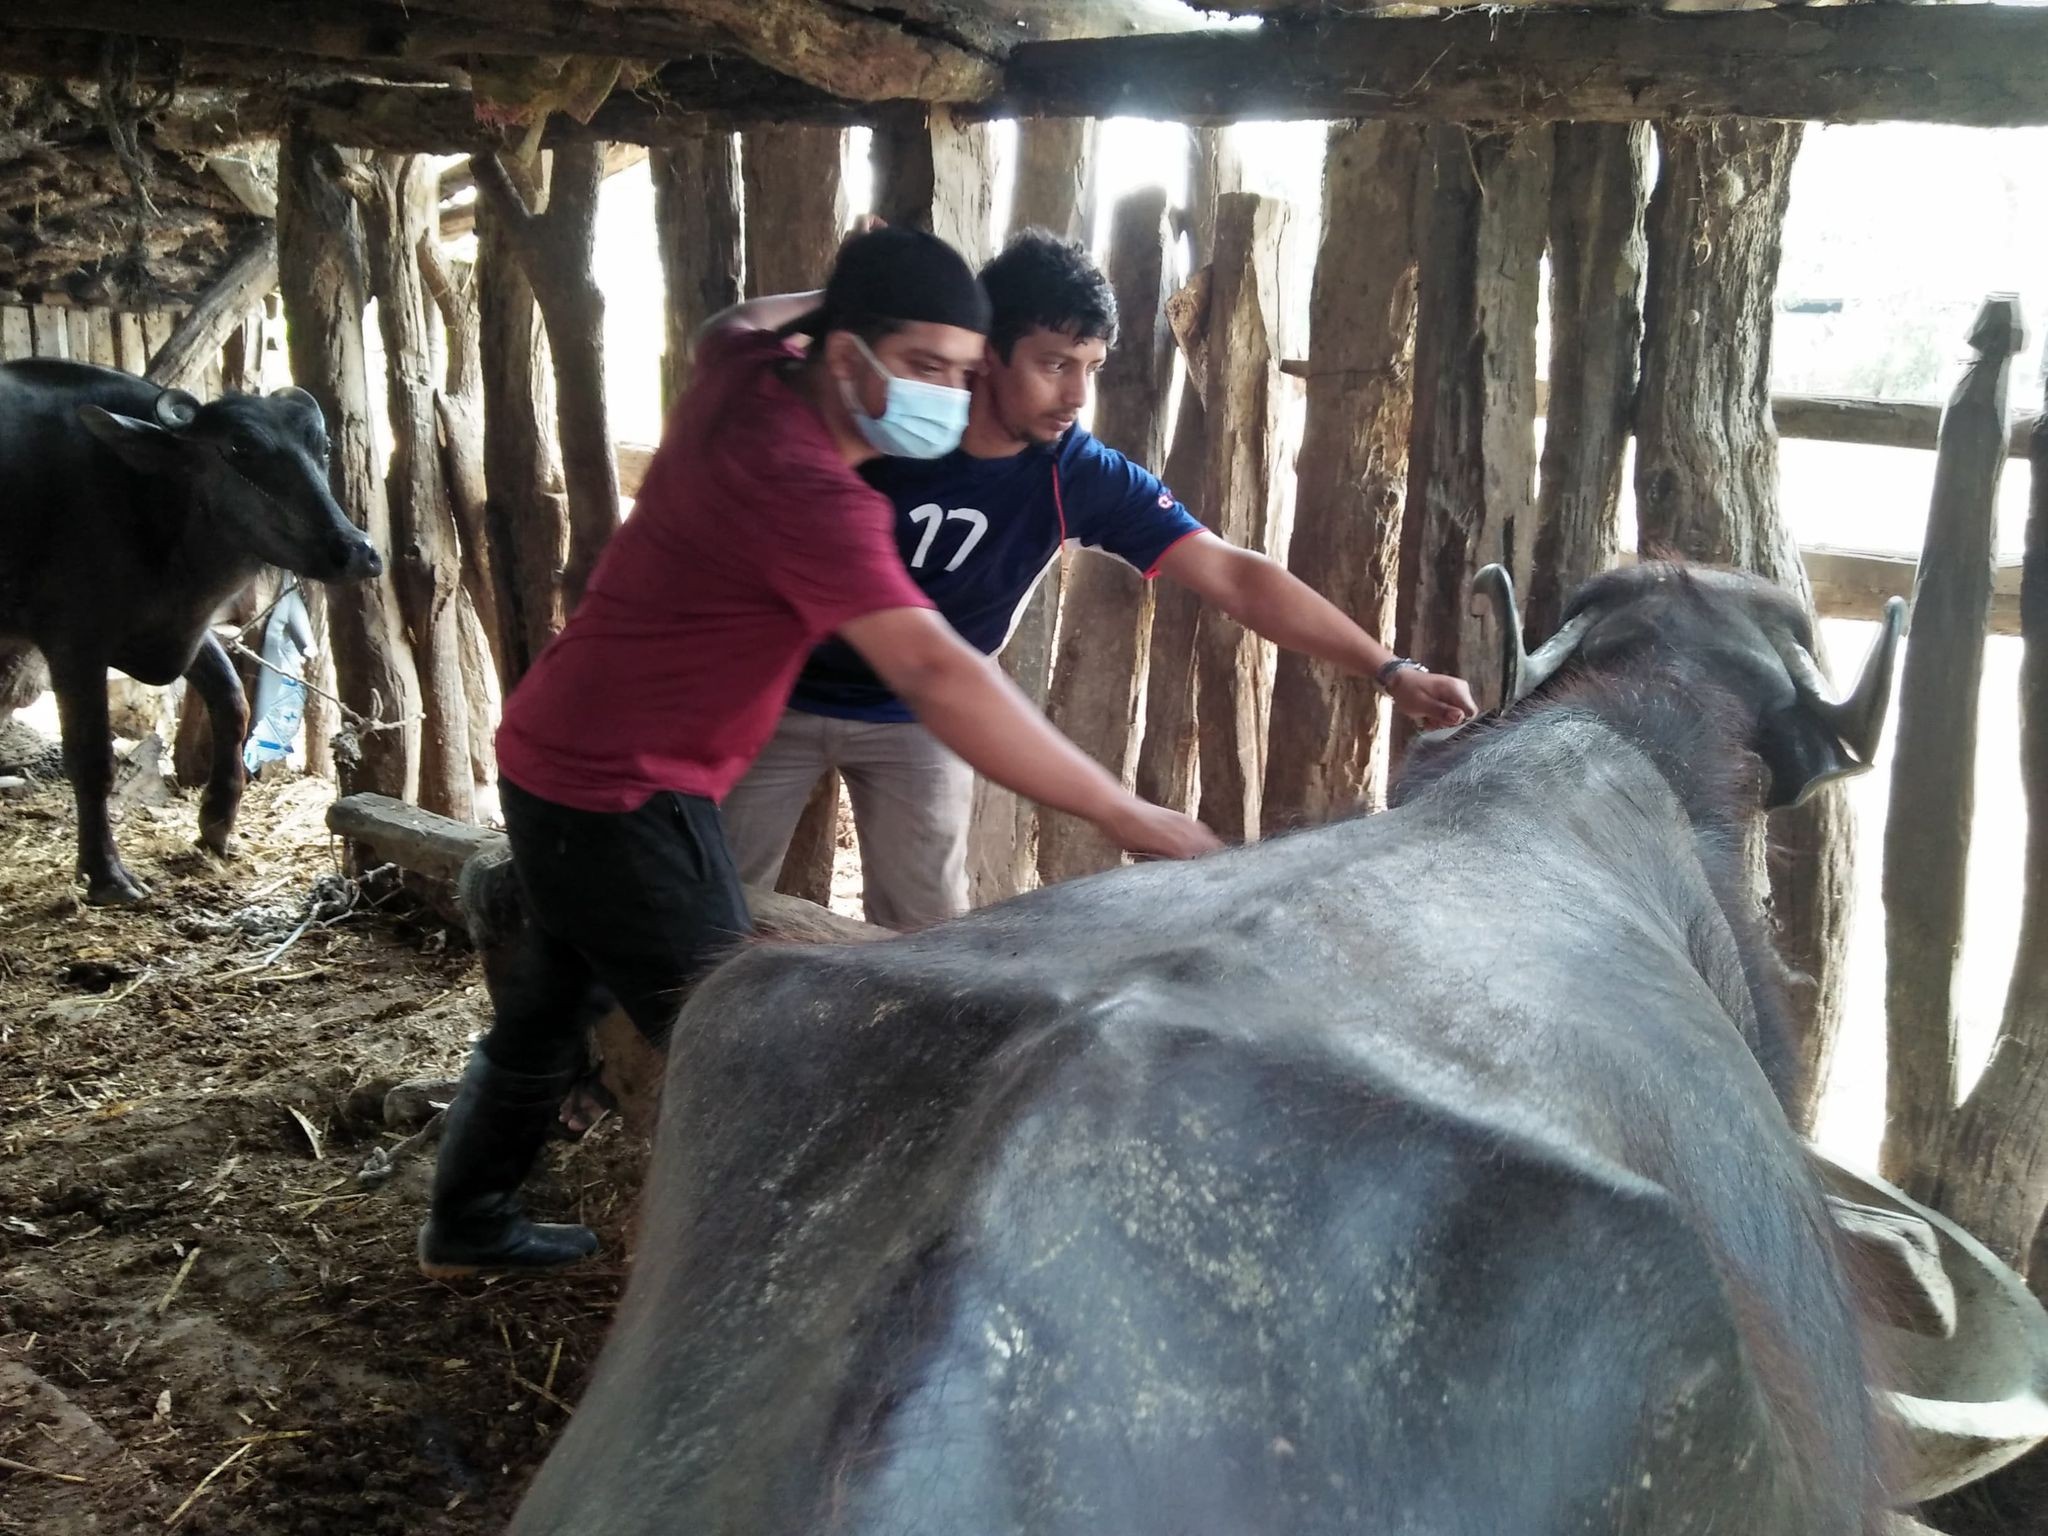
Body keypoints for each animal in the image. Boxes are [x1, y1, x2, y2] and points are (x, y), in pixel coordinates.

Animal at [1, 364, 380, 901]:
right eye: (239, 448)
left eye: (322, 446)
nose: (355, 550)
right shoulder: (74, 643)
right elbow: (91, 757)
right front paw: (107, 873)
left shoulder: (182, 628)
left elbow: (233, 702)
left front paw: (217, 822)